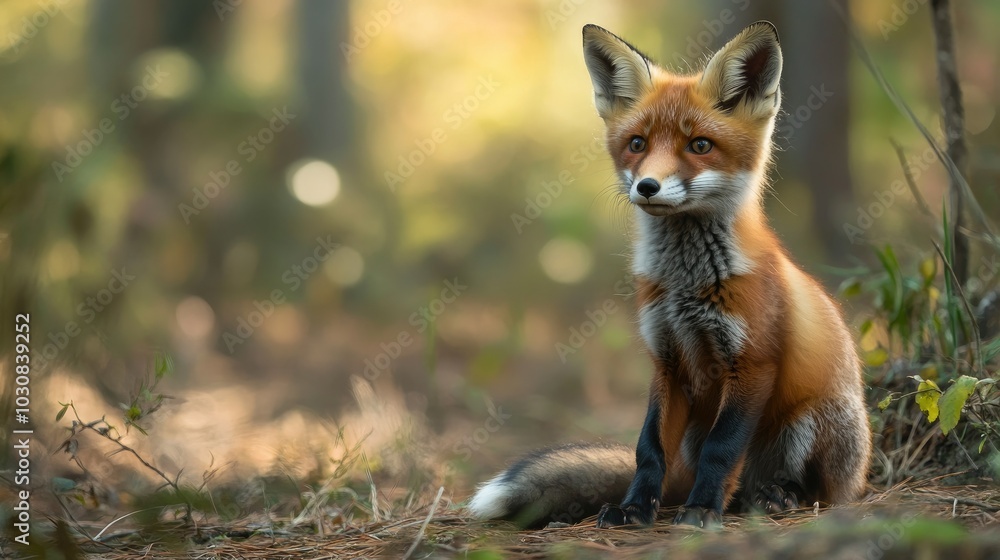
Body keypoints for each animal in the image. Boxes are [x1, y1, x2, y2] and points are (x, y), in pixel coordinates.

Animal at [468, 22, 871, 529]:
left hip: (814, 418)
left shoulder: (752, 363)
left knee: (816, 488)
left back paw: (777, 497)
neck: (687, 285)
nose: (648, 186)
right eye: (637, 144)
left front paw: (701, 510)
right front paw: (635, 508)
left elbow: (723, 448)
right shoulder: (666, 360)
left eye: (699, 145)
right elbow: (648, 448)